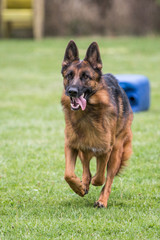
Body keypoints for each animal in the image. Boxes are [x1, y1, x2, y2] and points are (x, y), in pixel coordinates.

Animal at [60, 40, 133, 207]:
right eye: (69, 75)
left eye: (86, 77)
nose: (72, 91)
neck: (87, 114)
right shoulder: (71, 145)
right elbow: (68, 174)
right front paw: (79, 187)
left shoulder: (106, 149)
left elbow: (100, 177)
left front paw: (94, 183)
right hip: (83, 150)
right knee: (86, 167)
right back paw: (84, 184)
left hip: (116, 152)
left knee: (109, 179)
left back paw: (101, 200)